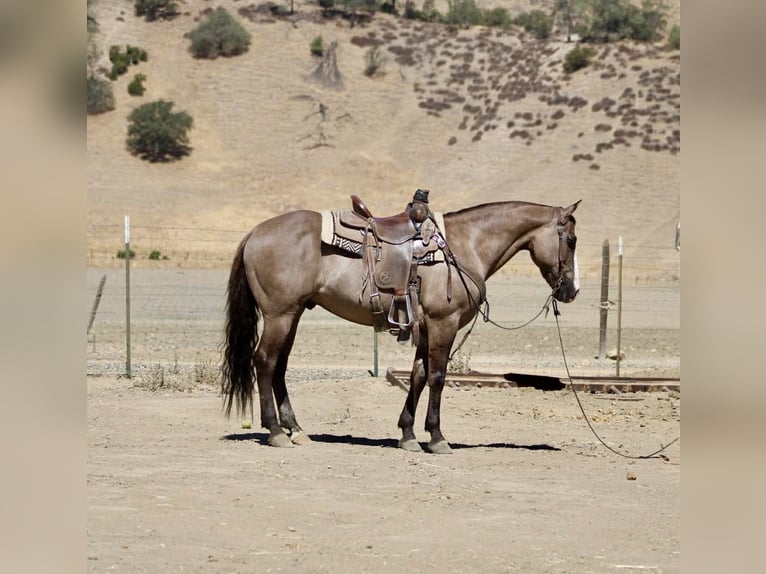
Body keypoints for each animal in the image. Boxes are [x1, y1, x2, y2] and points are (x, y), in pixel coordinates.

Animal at [221, 199, 581, 453]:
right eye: (572, 240)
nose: (572, 291)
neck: (466, 245)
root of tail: (255, 233)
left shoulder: (427, 327)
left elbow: (418, 375)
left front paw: (408, 434)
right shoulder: (444, 324)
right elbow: (437, 377)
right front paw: (437, 437)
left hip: (292, 315)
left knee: (279, 366)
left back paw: (295, 429)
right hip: (279, 315)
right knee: (265, 362)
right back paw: (276, 432)